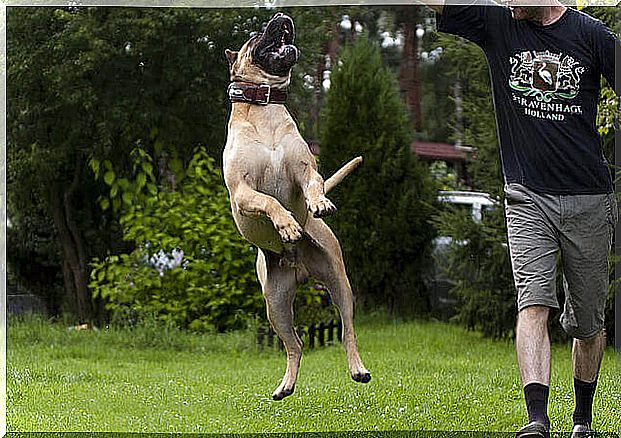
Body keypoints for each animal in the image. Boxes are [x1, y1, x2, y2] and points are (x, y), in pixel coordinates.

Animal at [222, 12, 368, 400]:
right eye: (256, 33)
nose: (281, 16)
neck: (265, 108)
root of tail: (297, 266)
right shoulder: (243, 192)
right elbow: (269, 200)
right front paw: (286, 224)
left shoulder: (304, 169)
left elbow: (313, 183)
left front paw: (318, 202)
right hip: (275, 304)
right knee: (295, 345)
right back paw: (285, 385)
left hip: (339, 283)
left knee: (346, 331)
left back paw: (358, 369)